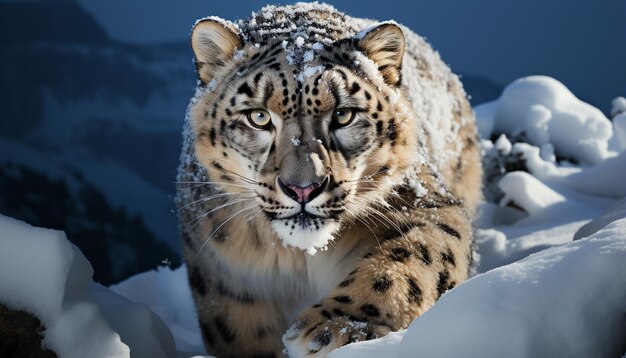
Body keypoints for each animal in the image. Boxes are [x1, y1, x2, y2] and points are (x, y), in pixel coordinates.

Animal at [176, 3, 482, 358]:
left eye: (343, 115)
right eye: (259, 117)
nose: (303, 188)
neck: (298, 257)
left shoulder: (424, 201)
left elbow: (413, 255)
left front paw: (337, 327)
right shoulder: (227, 278)